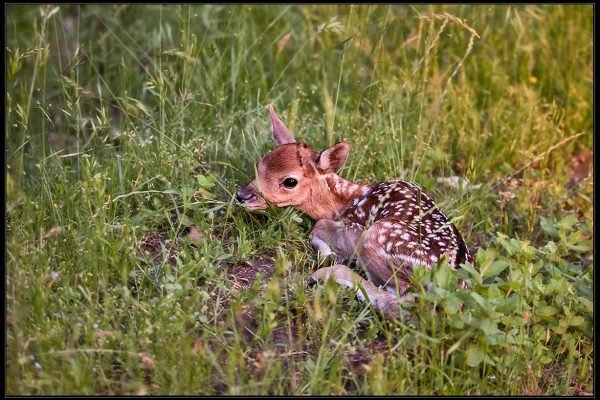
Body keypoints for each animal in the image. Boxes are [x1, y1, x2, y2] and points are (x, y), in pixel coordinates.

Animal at [236, 104, 474, 318]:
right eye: (259, 165)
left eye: (290, 181)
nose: (241, 195)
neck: (345, 201)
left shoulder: (355, 227)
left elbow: (319, 226)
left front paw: (328, 253)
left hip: (377, 238)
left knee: (402, 305)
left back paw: (329, 274)